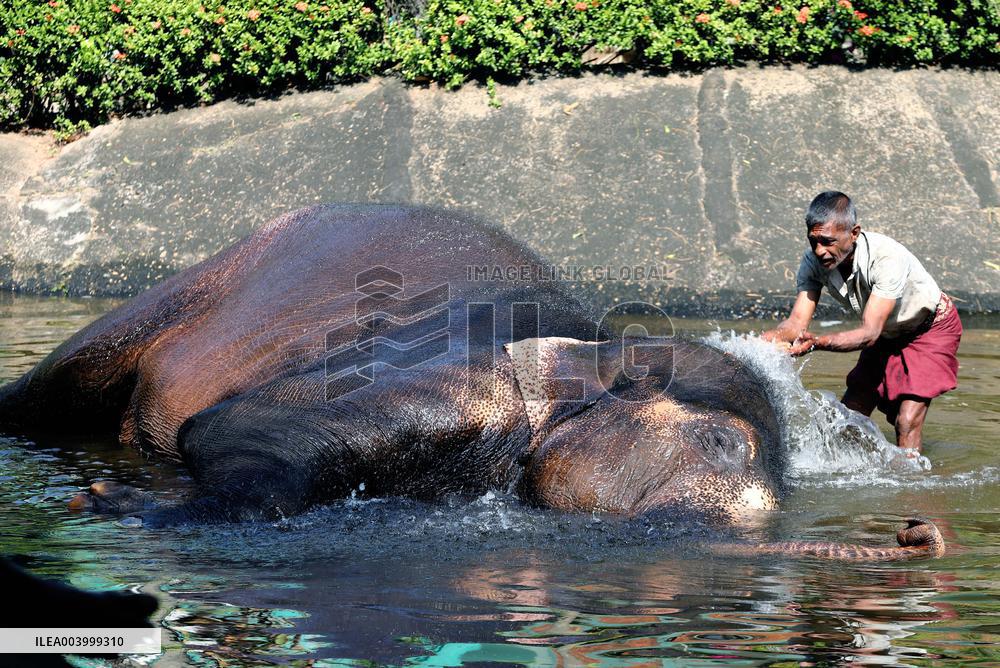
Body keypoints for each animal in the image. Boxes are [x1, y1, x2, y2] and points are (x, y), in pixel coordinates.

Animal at [0, 204, 943, 560]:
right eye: (718, 443)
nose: (917, 531)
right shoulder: (460, 378)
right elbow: (236, 431)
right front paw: (114, 506)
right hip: (191, 289)